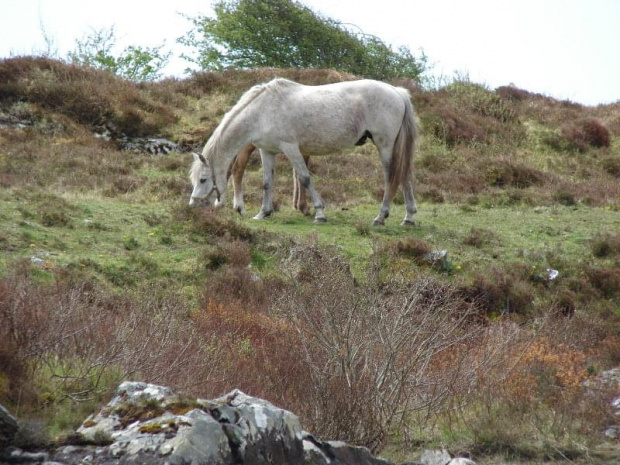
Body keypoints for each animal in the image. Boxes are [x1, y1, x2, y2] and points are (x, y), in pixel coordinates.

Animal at [189, 77, 418, 225]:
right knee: (404, 176)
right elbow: (267, 183)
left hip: (385, 146)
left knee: (391, 178)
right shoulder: (267, 151)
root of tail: (397, 92)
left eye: (203, 180)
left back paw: (381, 217)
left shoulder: (290, 148)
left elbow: (305, 178)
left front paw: (319, 213)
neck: (262, 111)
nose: (193, 205)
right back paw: (408, 218)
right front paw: (263, 213)